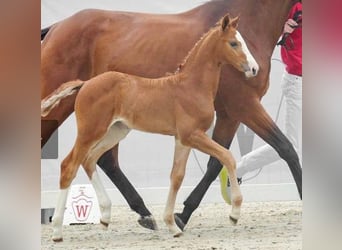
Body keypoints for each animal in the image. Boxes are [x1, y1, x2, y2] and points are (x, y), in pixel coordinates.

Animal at [42, 0, 302, 230]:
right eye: (234, 43)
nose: (253, 68)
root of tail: (55, 28)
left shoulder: (229, 115)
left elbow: (214, 163)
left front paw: (182, 214)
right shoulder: (244, 106)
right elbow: (286, 148)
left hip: (112, 125)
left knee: (103, 160)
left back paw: (143, 214)